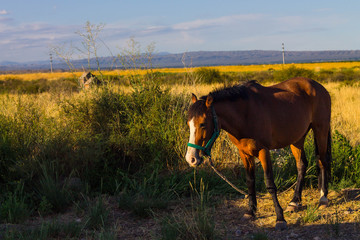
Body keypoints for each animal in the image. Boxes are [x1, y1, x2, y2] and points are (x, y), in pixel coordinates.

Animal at [186, 78, 332, 230]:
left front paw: (280, 218)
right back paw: (294, 202)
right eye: (188, 123)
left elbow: (270, 184)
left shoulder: (263, 151)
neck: (244, 114)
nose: (191, 158)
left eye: (203, 124)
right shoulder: (244, 154)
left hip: (320, 130)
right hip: (297, 138)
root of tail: (318, 86)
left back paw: (323, 198)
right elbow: (250, 181)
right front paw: (251, 212)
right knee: (302, 165)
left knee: (322, 161)